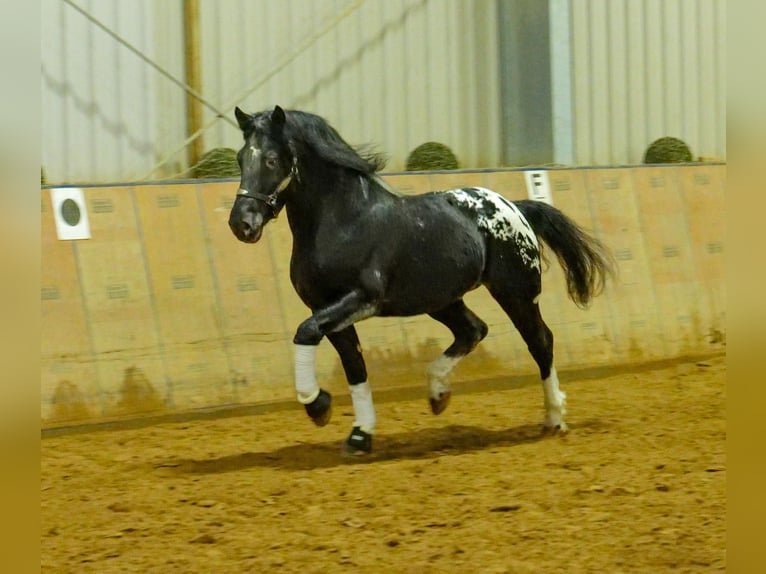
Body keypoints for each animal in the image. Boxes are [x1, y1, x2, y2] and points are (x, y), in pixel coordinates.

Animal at [226, 106, 612, 456]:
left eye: (272, 160)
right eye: (241, 158)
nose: (241, 224)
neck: (344, 220)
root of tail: (516, 207)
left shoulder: (362, 298)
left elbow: (305, 332)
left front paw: (318, 406)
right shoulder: (326, 307)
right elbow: (353, 365)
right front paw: (359, 435)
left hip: (516, 292)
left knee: (540, 342)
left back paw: (554, 419)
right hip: (440, 299)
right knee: (473, 330)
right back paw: (438, 393)